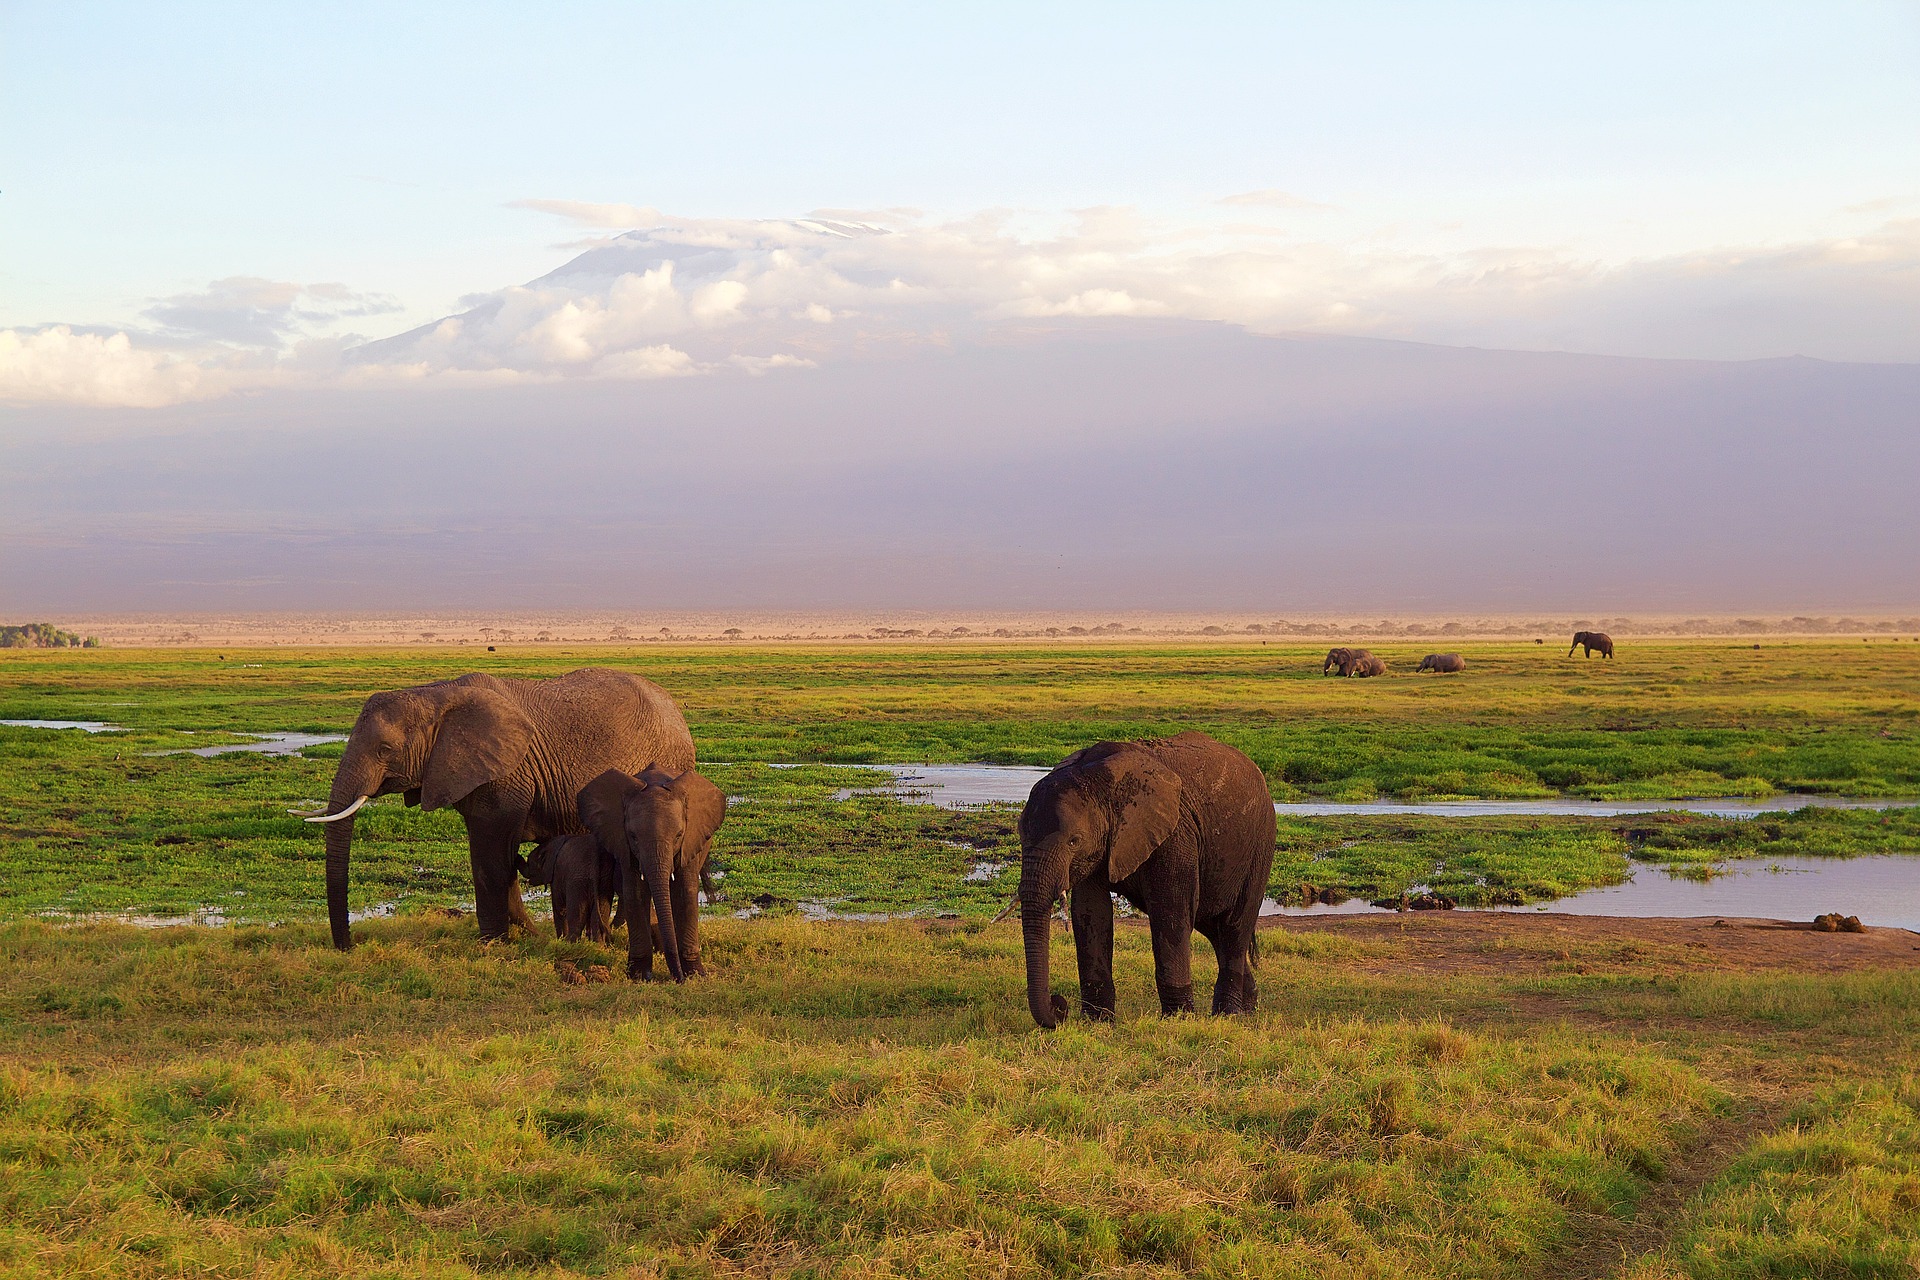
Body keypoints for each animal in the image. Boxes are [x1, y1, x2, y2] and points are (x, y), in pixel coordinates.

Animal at [288, 671, 695, 951]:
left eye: (385, 750)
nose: (348, 946)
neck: (435, 694)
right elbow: (493, 853)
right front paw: (525, 935)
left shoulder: (505, 773)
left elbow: (492, 854)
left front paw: (493, 943)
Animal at [576, 767, 725, 990]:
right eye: (633, 836)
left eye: (678, 835)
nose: (678, 979)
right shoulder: (624, 844)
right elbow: (635, 893)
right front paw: (640, 976)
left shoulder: (690, 841)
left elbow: (686, 893)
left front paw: (696, 975)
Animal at [1021, 729, 1274, 1028]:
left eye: (1074, 841)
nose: (1059, 1005)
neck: (1101, 779)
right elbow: (1091, 913)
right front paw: (1098, 1022)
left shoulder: (1175, 833)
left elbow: (1170, 912)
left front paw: (1178, 1019)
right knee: (1213, 927)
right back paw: (1249, 1009)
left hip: (1260, 844)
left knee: (1235, 926)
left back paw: (1229, 1015)